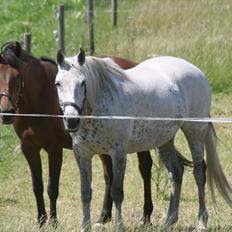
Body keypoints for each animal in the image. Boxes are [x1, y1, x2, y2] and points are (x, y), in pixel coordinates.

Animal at [0, 41, 153, 227]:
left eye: (17, 76)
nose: (6, 113)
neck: (40, 98)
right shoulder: (29, 148)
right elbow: (37, 186)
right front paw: (41, 221)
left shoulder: (54, 149)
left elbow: (52, 187)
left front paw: (53, 221)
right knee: (109, 175)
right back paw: (104, 216)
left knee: (145, 169)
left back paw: (146, 216)